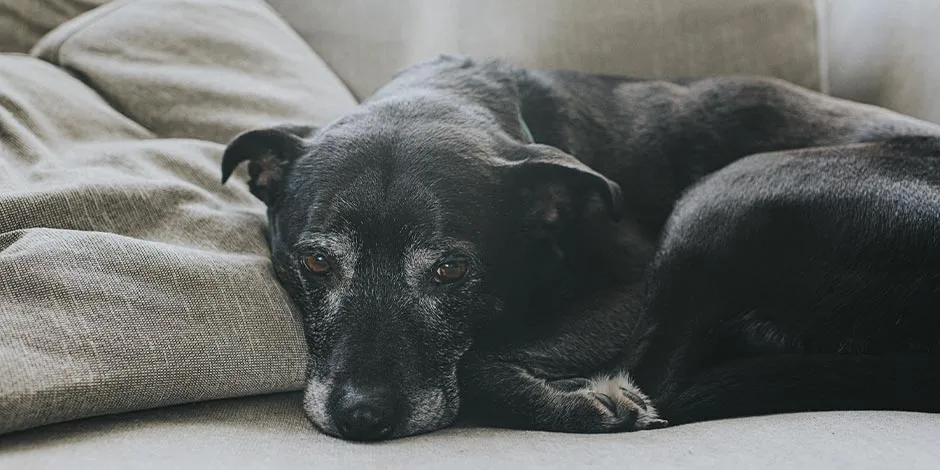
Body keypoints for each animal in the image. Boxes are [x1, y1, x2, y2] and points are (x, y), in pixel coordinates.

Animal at [218, 55, 940, 440]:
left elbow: (477, 361)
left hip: (730, 193)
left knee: (662, 381)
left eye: (451, 270)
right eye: (316, 262)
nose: (364, 417)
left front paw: (576, 401)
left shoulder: (628, 288)